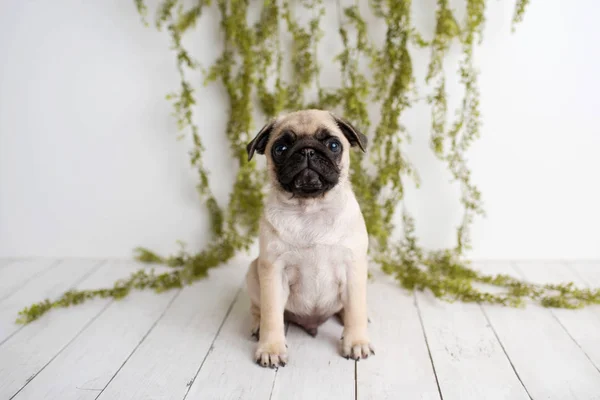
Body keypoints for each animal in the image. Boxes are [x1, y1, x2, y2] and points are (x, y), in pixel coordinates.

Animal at [245, 108, 376, 368]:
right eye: (280, 148)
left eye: (334, 145)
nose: (307, 150)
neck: (310, 209)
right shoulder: (273, 272)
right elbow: (271, 315)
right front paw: (271, 347)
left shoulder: (354, 268)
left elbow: (355, 308)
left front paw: (356, 341)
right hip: (253, 272)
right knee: (257, 308)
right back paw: (256, 325)